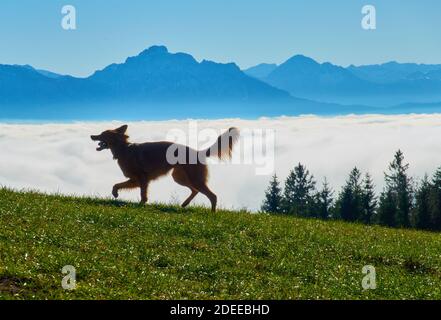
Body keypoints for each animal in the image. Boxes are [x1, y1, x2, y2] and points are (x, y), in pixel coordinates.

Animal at [90, 125, 239, 212]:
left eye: (102, 134)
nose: (92, 136)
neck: (124, 149)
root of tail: (198, 152)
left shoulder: (142, 179)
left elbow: (143, 195)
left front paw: (140, 205)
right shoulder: (135, 180)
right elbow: (116, 184)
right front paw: (115, 193)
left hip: (194, 179)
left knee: (212, 196)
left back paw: (212, 213)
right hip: (180, 177)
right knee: (195, 190)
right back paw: (185, 204)